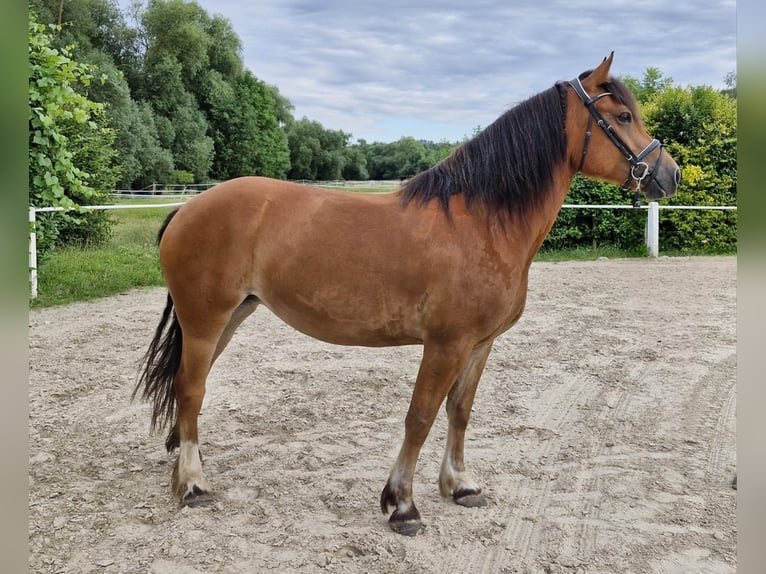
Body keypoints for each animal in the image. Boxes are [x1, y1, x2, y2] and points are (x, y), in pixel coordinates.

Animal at [134, 53, 680, 536]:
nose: (669, 174)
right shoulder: (445, 344)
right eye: (623, 116)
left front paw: (460, 485)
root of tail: (188, 208)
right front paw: (402, 506)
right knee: (191, 388)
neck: (481, 223)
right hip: (205, 319)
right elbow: (420, 416)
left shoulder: (480, 344)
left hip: (229, 317)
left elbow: (459, 411)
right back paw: (192, 485)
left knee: (191, 390)